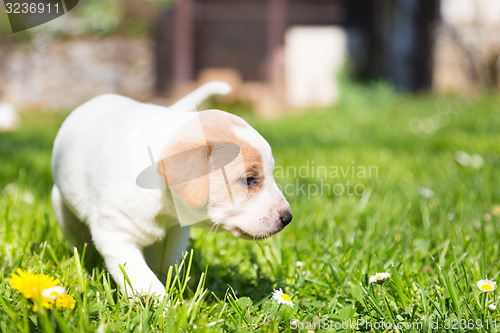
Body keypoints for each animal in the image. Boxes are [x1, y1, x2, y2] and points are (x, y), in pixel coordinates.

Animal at [49, 81, 292, 294]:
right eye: (249, 179)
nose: (287, 218)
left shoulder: (176, 232)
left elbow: (168, 263)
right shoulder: (116, 234)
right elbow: (143, 279)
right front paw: (163, 306)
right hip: (60, 206)